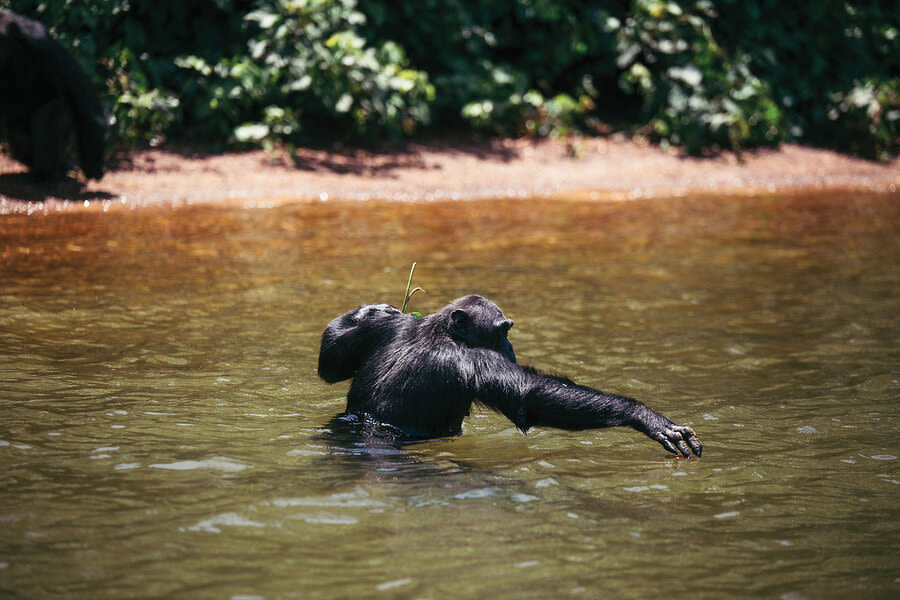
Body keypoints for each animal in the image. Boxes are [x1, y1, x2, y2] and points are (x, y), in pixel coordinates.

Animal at [0, 9, 107, 179]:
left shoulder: (41, 41)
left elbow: (83, 101)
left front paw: (94, 166)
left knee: (51, 113)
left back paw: (47, 174)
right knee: (17, 135)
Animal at [320, 292, 708, 458]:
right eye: (502, 329)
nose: (510, 343)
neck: (441, 331)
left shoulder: (391, 327)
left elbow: (330, 363)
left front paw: (372, 308)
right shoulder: (477, 360)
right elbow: (529, 396)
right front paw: (645, 417)